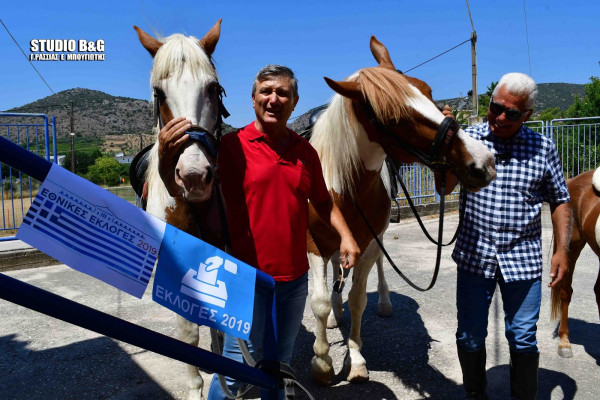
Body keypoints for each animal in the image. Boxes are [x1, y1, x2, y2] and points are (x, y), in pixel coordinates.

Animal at [304, 36, 496, 384]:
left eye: (429, 92)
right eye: (394, 119)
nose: (482, 162)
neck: (343, 187)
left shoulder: (367, 243)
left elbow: (357, 299)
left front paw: (356, 358)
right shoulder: (314, 244)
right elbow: (321, 302)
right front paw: (322, 362)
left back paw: (384, 302)